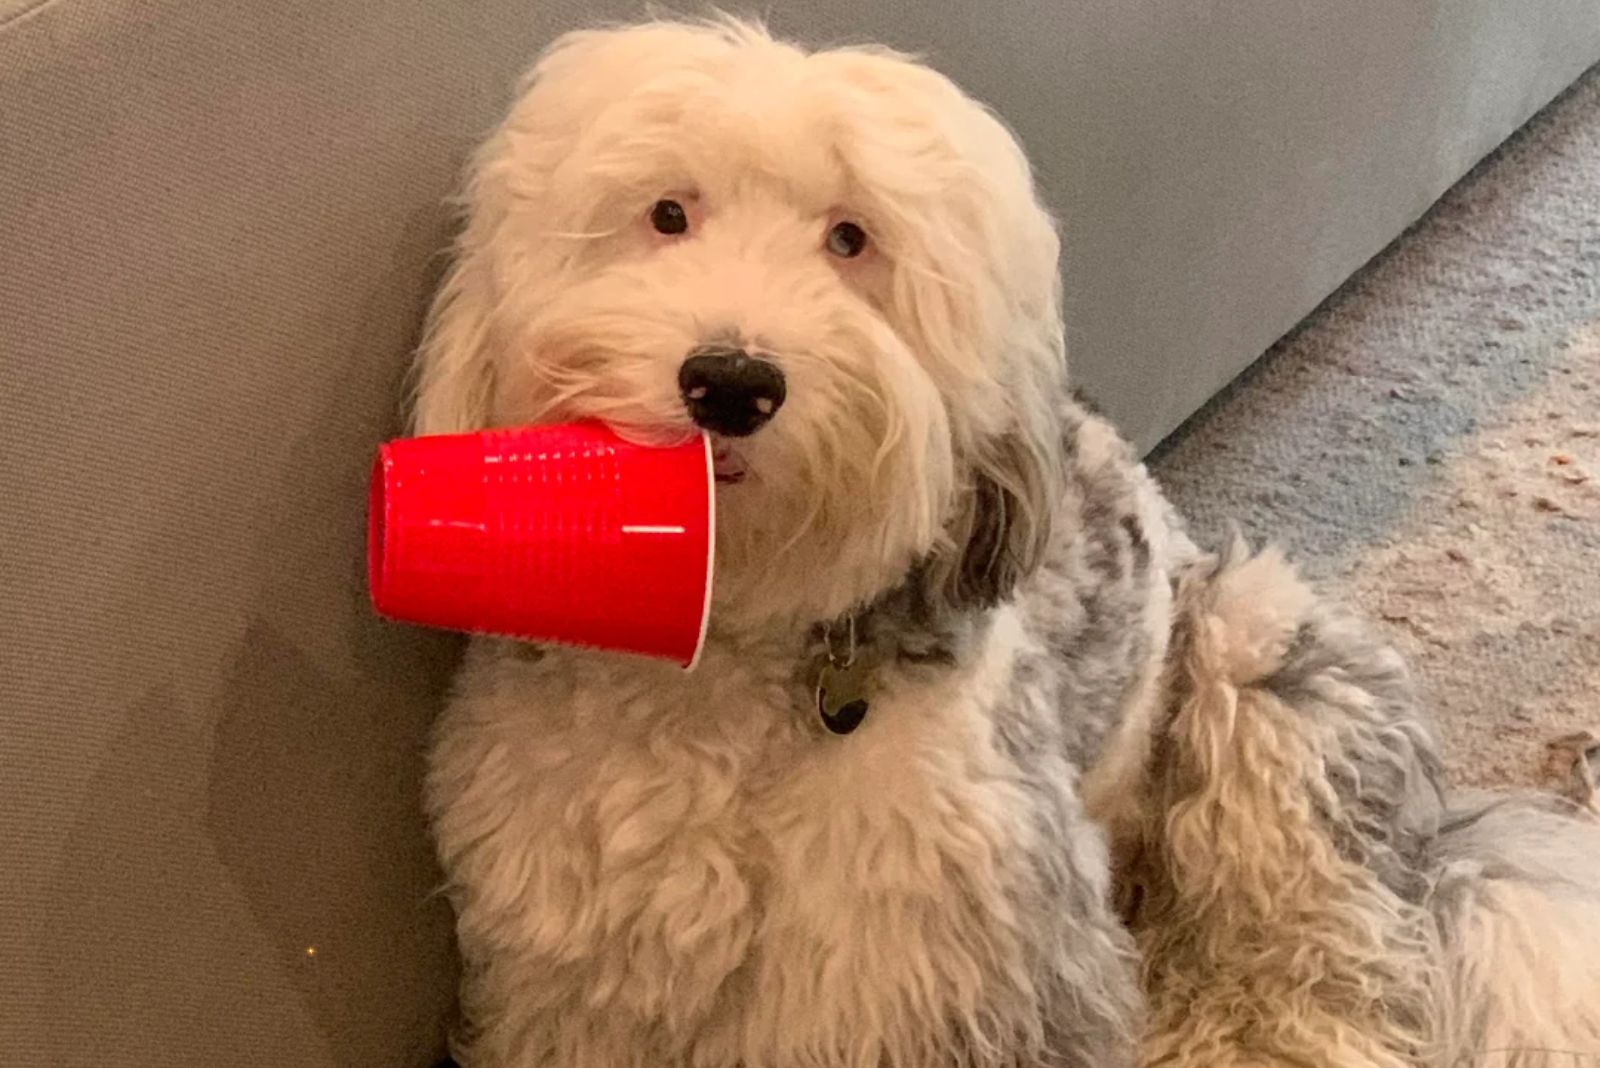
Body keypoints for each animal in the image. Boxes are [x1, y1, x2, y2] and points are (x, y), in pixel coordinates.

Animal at [412, 18, 1600, 1068]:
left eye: (851, 238)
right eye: (666, 213)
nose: (731, 382)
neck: (730, 656)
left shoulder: (968, 963)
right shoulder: (581, 967)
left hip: (1261, 681)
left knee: (1318, 973)